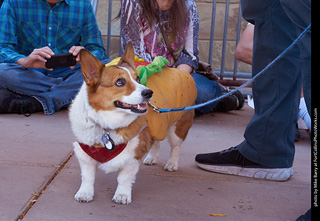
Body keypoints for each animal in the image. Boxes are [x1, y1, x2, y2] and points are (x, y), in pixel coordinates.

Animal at [69, 42, 196, 205]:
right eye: (120, 82)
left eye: (138, 79)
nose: (149, 93)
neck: (107, 124)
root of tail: (178, 70)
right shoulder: (85, 153)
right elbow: (87, 177)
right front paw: (85, 193)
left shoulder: (133, 156)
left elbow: (124, 178)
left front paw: (122, 195)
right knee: (156, 141)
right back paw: (152, 158)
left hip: (177, 127)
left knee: (175, 147)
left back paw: (172, 164)